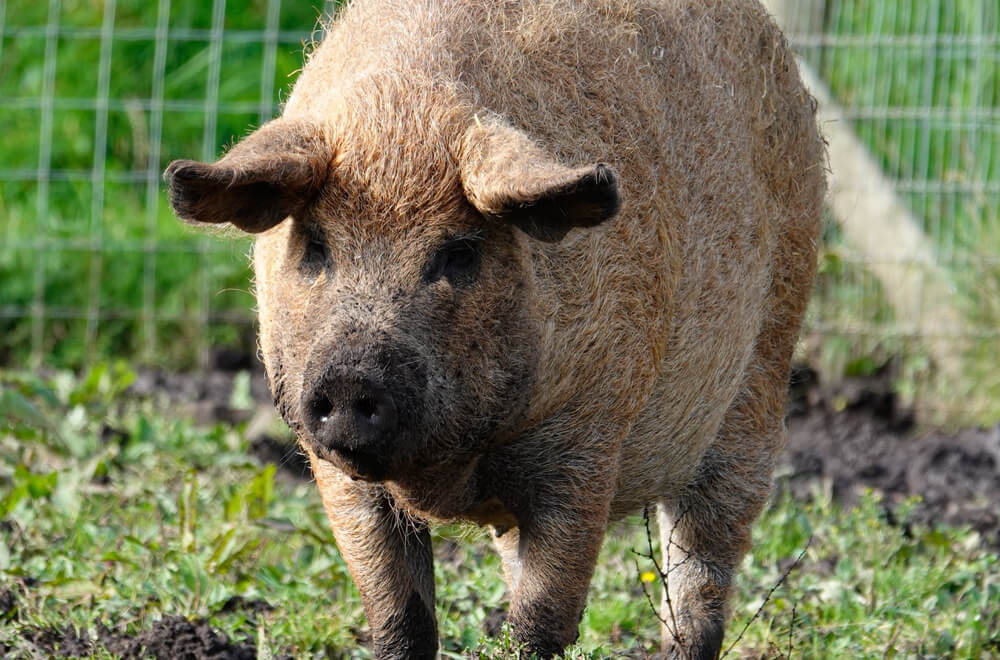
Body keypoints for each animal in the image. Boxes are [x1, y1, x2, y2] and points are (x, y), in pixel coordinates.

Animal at [164, 0, 826, 657]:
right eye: (315, 246)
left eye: (459, 253)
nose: (353, 377)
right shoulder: (334, 469)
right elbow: (398, 616)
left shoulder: (590, 436)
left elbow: (541, 621)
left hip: (764, 369)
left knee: (705, 562)